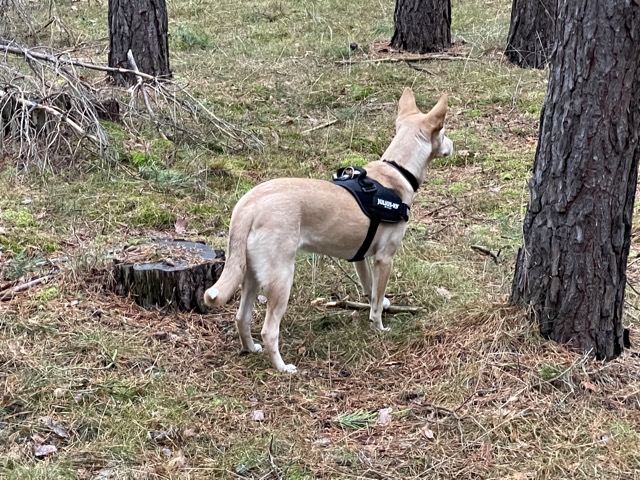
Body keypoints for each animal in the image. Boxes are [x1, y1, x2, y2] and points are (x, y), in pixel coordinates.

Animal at [204, 88, 450, 374]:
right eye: (444, 131)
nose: (452, 145)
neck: (396, 171)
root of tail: (248, 204)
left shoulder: (362, 260)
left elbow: (371, 291)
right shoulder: (385, 258)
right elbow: (376, 302)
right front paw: (379, 327)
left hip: (250, 274)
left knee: (241, 317)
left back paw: (250, 348)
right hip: (281, 278)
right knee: (269, 330)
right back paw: (283, 367)